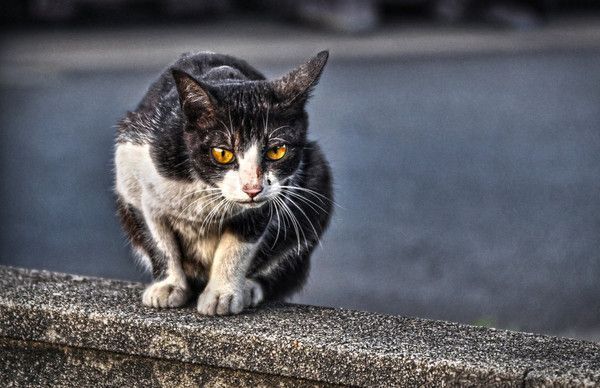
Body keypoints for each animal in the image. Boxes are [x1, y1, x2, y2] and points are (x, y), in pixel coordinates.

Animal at [113, 50, 332, 316]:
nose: (252, 188)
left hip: (317, 175)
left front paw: (221, 294)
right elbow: (158, 238)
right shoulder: (133, 165)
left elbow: (238, 246)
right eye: (222, 153)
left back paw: (249, 287)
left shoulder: (273, 197)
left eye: (277, 150)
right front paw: (167, 286)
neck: (208, 189)